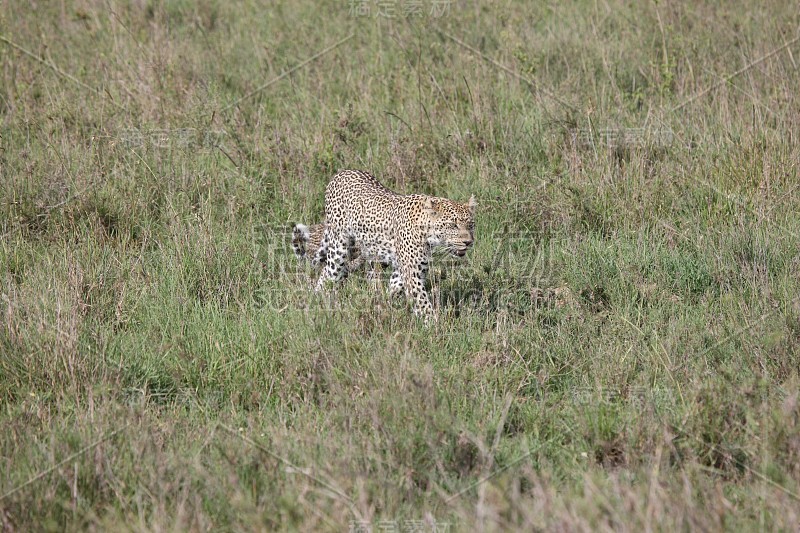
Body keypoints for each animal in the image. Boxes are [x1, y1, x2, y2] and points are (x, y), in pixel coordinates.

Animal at [310, 169, 476, 320]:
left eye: (471, 224)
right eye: (453, 225)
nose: (468, 242)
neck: (427, 233)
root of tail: (341, 172)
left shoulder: (411, 268)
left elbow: (395, 288)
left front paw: (385, 305)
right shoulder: (412, 272)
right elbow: (423, 303)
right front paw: (433, 326)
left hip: (374, 254)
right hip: (339, 248)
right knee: (329, 271)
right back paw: (318, 299)